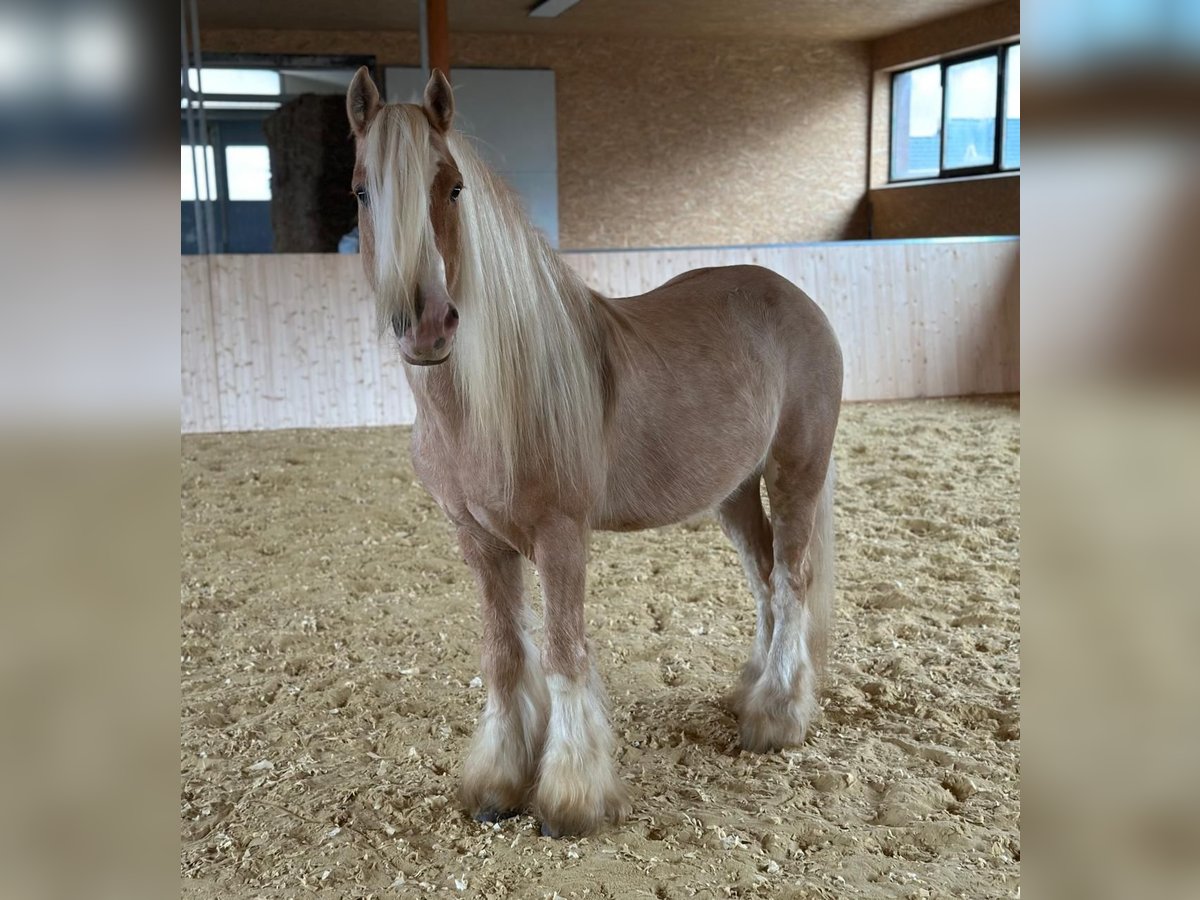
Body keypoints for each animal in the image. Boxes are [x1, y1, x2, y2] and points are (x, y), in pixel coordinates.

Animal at [348, 68, 844, 840]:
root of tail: (797, 300)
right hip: (733, 493)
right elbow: (503, 655)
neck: (485, 403)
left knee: (793, 580)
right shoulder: (477, 541)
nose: (427, 324)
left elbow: (561, 652)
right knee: (764, 579)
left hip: (796, 473)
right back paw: (749, 691)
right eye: (362, 191)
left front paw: (570, 797)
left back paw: (777, 716)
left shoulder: (561, 538)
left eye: (453, 187)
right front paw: (498, 782)